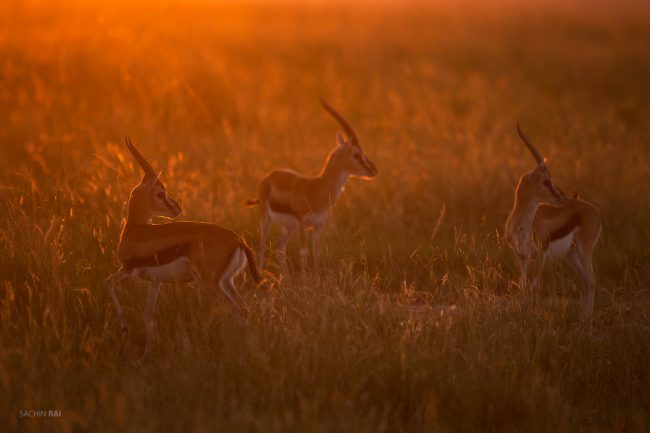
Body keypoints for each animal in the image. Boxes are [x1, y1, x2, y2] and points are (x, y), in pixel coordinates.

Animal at [106, 138, 260, 353]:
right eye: (159, 193)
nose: (177, 209)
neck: (134, 230)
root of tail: (238, 240)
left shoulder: (128, 270)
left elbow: (108, 283)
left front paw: (125, 327)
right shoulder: (155, 281)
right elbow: (149, 315)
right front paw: (146, 353)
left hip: (208, 283)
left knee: (232, 309)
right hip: (227, 281)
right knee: (244, 308)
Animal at [246, 99, 378, 282]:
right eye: (357, 154)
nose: (373, 170)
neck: (317, 188)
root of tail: (269, 176)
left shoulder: (318, 226)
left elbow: (316, 253)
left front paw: (317, 282)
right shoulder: (303, 224)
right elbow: (303, 252)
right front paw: (304, 283)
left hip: (289, 227)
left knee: (279, 246)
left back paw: (285, 279)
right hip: (267, 218)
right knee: (262, 245)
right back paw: (260, 279)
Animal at [505, 124, 602, 325]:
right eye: (546, 181)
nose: (563, 197)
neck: (522, 226)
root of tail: (594, 209)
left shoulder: (540, 255)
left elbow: (534, 286)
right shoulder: (521, 256)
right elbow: (523, 285)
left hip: (584, 250)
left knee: (591, 280)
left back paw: (586, 321)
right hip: (570, 255)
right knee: (585, 281)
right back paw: (582, 319)